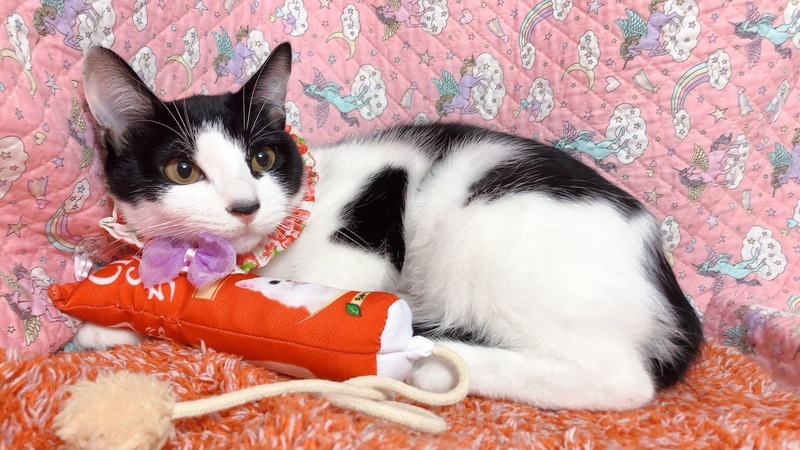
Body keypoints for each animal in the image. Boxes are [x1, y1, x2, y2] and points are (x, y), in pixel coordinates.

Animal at [77, 42, 703, 411]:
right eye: (183, 171)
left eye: (262, 158)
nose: (245, 206)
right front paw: (112, 328)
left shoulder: (371, 228)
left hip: (492, 240)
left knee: (620, 380)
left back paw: (434, 367)